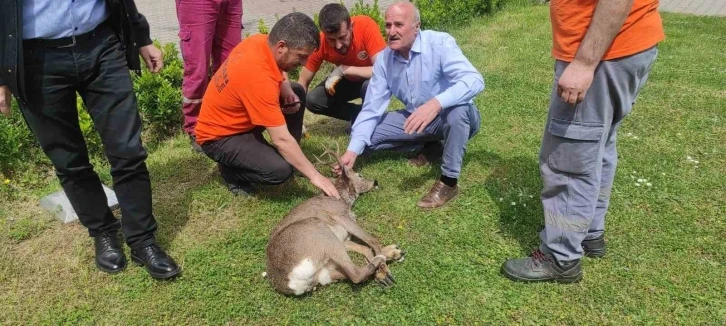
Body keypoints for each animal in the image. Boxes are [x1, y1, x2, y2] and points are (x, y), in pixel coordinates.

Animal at [266, 148, 406, 296]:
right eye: (360, 175)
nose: (375, 181)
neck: (342, 200)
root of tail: (291, 284)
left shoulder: (343, 239)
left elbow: (365, 248)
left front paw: (390, 256)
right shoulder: (340, 215)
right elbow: (372, 239)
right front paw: (384, 271)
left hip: (325, 270)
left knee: (349, 273)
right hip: (320, 232)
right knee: (356, 275)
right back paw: (381, 259)